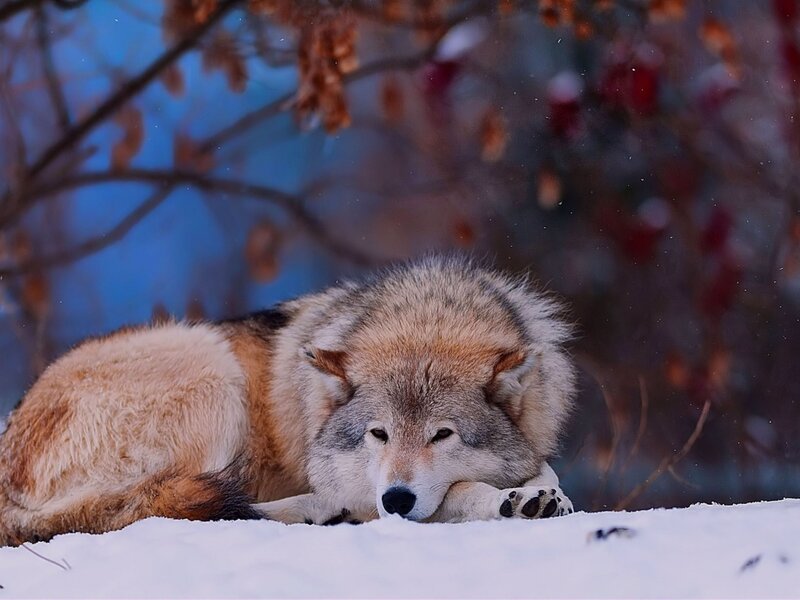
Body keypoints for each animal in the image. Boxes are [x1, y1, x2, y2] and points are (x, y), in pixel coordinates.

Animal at [0, 255, 576, 544]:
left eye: (442, 434)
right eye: (378, 434)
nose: (396, 498)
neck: (428, 314)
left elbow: (542, 467)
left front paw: (542, 494)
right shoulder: (368, 485)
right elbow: (456, 493)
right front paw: (508, 501)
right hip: (210, 366)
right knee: (170, 510)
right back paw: (323, 512)